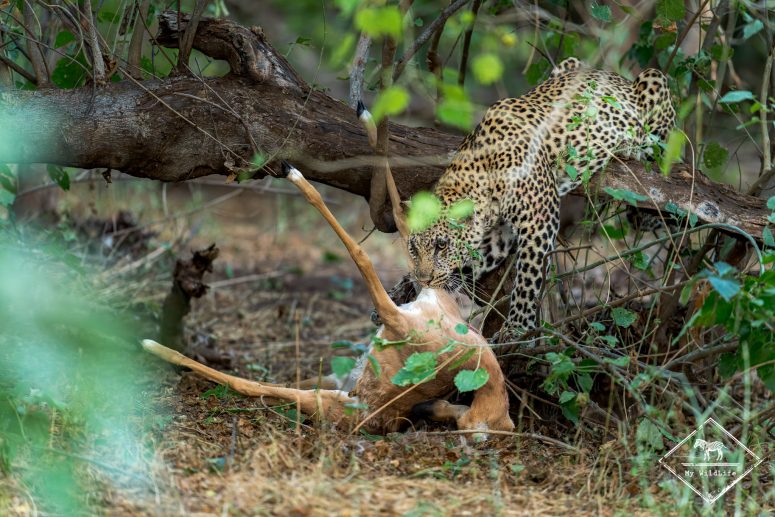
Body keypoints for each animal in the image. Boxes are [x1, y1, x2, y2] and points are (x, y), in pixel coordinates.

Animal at [142, 106, 514, 436]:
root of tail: (371, 414)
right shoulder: (422, 290)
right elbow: (397, 207)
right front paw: (366, 116)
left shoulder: (395, 311)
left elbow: (361, 251)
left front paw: (293, 172)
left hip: (328, 390)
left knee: (250, 385)